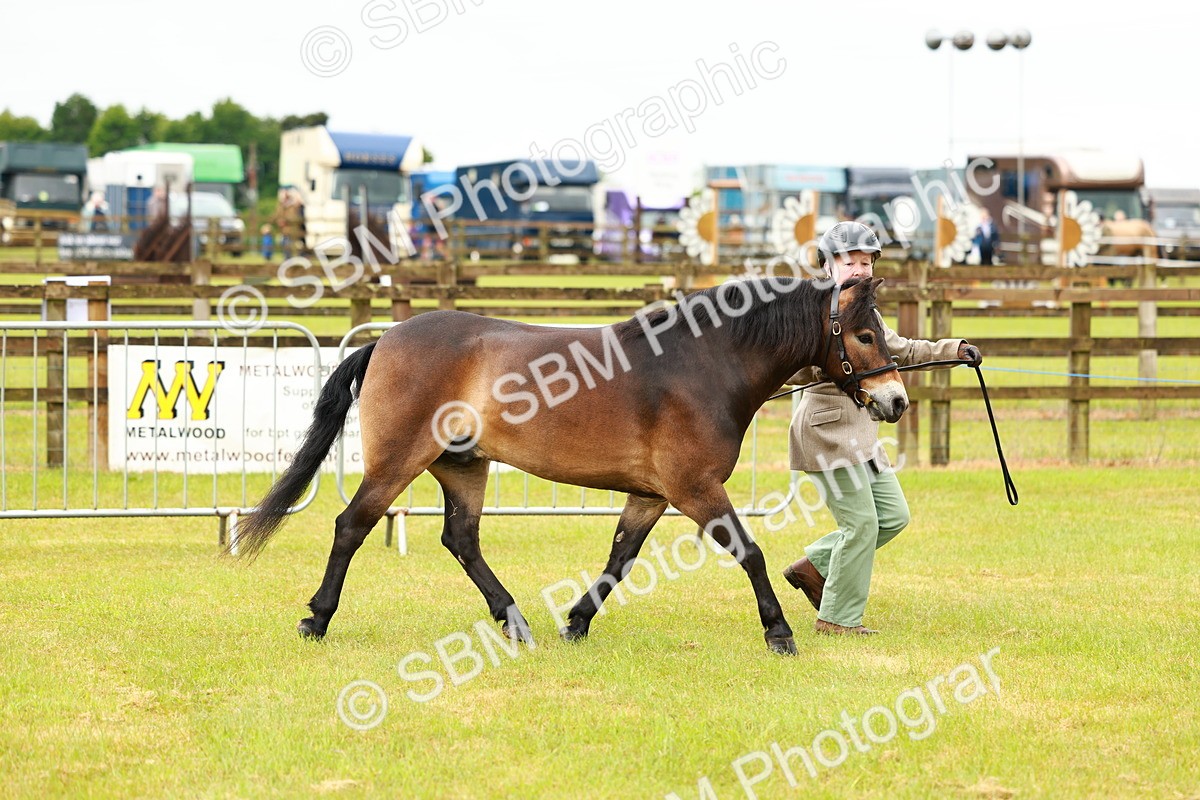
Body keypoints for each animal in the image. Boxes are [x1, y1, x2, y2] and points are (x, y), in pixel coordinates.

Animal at [235, 276, 909, 655]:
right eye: (865, 335)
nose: (896, 401)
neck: (704, 363)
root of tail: (388, 338)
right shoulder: (695, 488)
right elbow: (750, 552)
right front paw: (779, 633)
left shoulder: (653, 493)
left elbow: (620, 557)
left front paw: (576, 623)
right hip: (399, 460)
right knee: (352, 525)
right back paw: (317, 620)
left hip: (463, 467)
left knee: (462, 539)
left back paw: (515, 622)